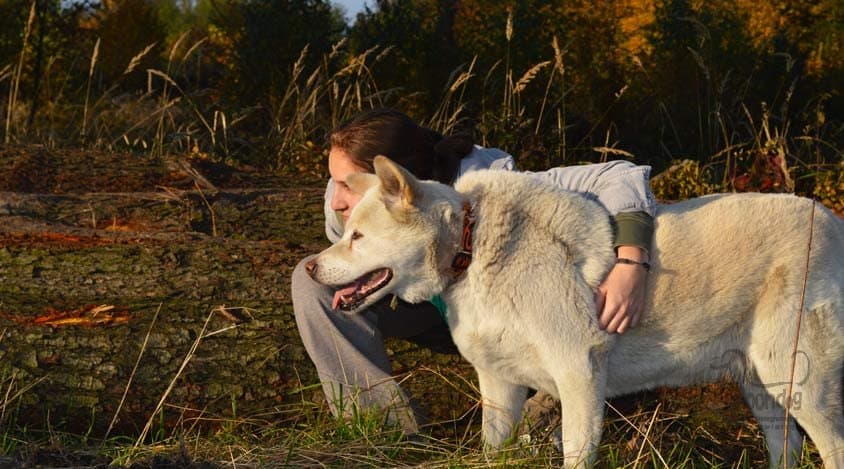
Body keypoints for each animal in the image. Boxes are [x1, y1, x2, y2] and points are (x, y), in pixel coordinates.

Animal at [308, 156, 844, 464]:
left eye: (358, 237)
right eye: (346, 229)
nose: (311, 267)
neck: (472, 248)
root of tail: (832, 221)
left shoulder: (580, 376)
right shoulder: (500, 385)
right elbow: (492, 448)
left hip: (800, 383)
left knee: (832, 447)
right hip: (764, 386)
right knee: (787, 446)